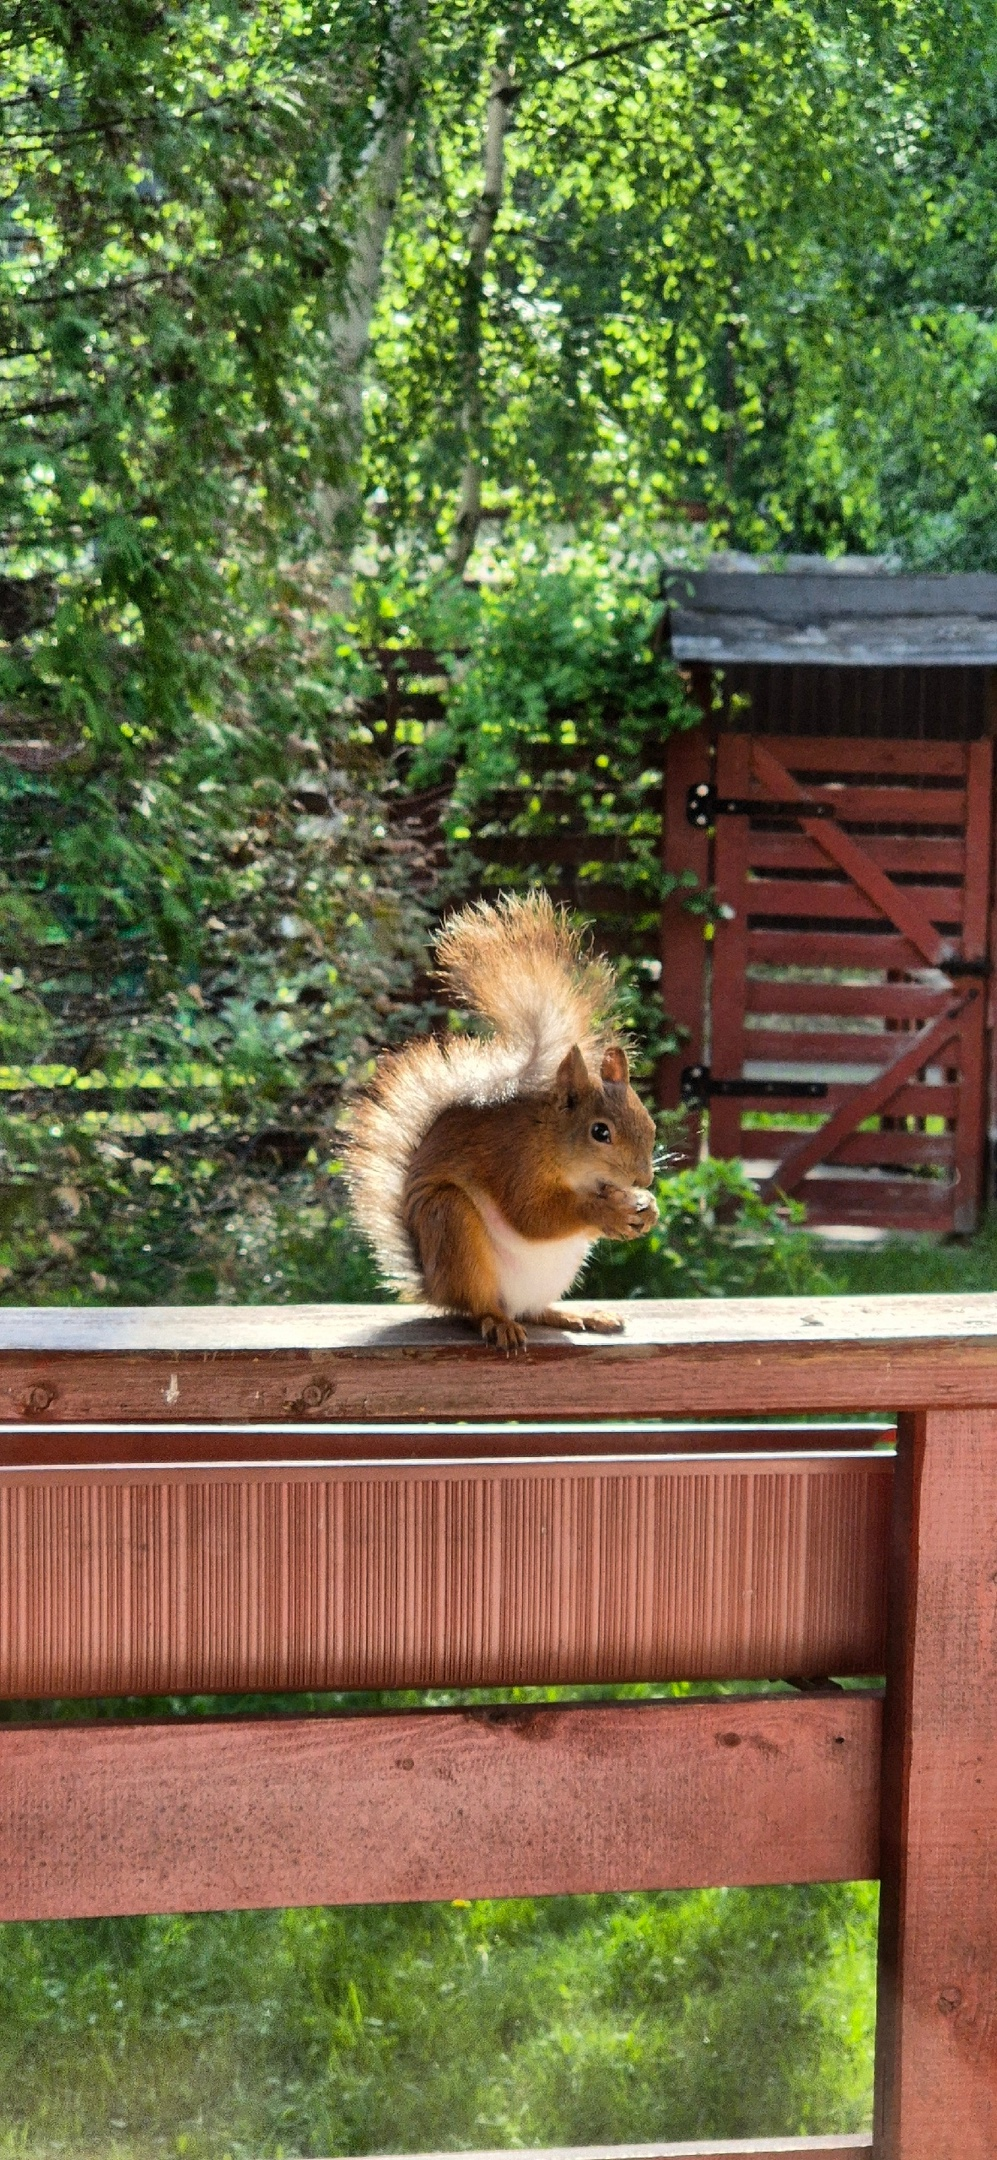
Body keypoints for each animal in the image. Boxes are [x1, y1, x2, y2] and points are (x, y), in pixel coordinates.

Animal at [347, 885, 656, 1339]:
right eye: (600, 1132)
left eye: (650, 1124)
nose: (643, 1178)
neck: (552, 1140)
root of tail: (437, 1287)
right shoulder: (514, 1161)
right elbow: (531, 1216)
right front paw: (606, 1211)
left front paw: (645, 1205)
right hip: (452, 1225)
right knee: (480, 1307)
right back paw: (499, 1323)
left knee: (533, 1310)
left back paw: (575, 1314)